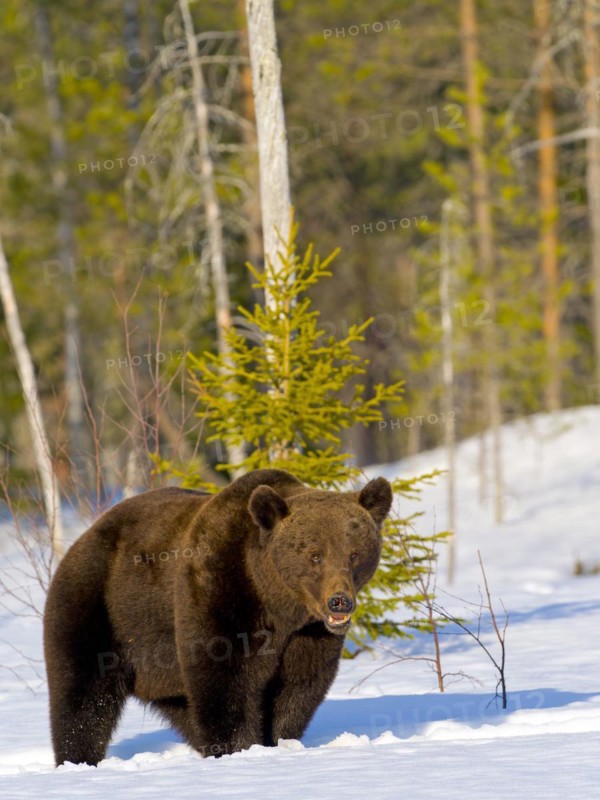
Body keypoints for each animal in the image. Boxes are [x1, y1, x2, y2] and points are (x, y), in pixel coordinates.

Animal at [43, 467, 392, 766]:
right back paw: (77, 759)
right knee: (82, 698)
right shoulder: (217, 594)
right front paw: (238, 748)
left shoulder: (306, 635)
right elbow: (224, 680)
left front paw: (278, 741)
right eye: (315, 555)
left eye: (354, 554)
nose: (339, 602)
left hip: (161, 668)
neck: (277, 603)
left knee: (182, 708)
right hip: (98, 609)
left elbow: (298, 687)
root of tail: (82, 538)